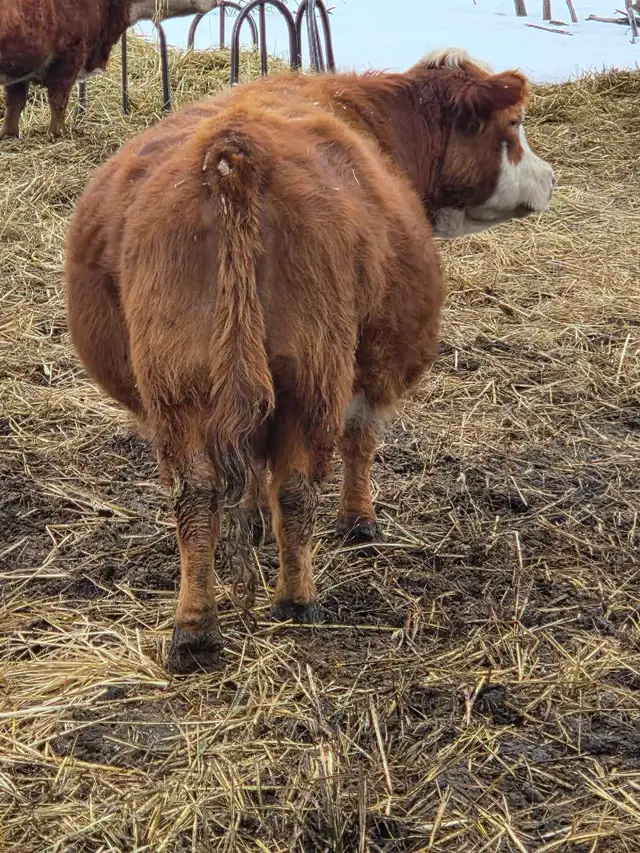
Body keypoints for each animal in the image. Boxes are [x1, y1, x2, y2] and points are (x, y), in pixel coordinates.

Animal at [0, 0, 218, 139]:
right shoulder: (69, 56)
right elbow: (58, 102)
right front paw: (57, 134)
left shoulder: (20, 65)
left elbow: (15, 104)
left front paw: (9, 136)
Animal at [65, 48, 554, 673]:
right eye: (514, 125)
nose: (550, 177)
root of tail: (234, 153)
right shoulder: (377, 360)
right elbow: (359, 441)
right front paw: (359, 521)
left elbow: (256, 477)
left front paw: (252, 523)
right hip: (315, 373)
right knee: (298, 488)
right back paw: (297, 601)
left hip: (182, 388)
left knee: (196, 497)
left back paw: (195, 629)